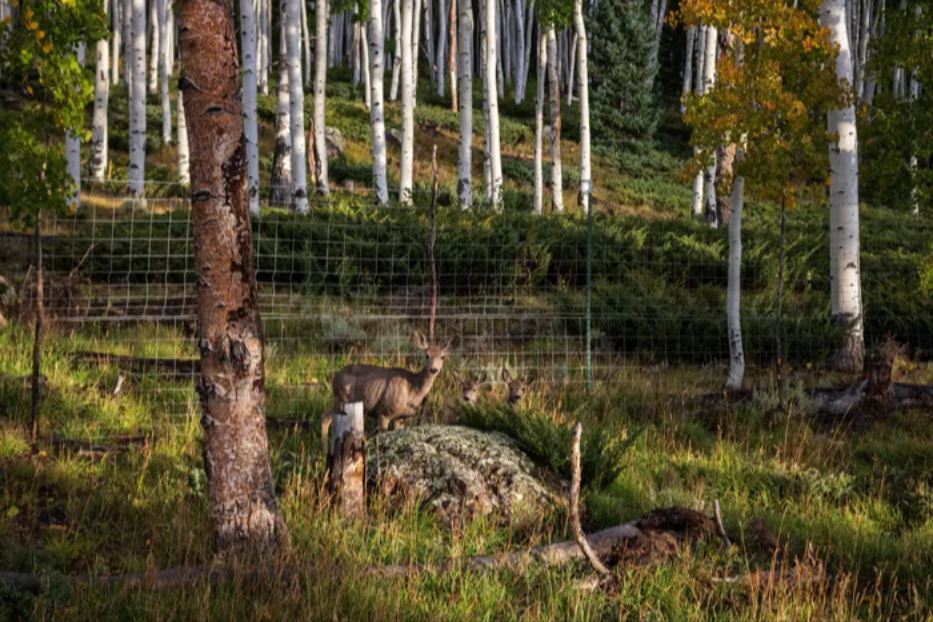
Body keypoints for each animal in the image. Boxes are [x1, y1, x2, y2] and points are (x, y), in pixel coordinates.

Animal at [322, 332, 454, 444]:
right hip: (342, 398)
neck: (412, 388)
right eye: (427, 355)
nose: (433, 369)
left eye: (443, 357)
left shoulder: (400, 417)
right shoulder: (384, 411)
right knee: (325, 419)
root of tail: (335, 377)